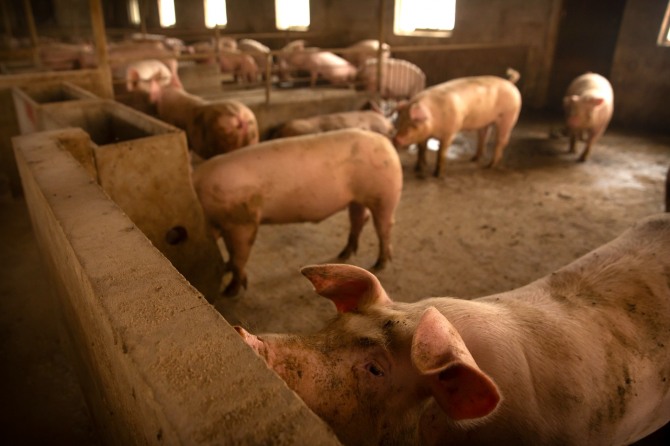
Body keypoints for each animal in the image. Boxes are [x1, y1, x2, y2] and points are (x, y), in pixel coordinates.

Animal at [194, 129, 404, 296]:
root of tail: (386, 143)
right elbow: (233, 257)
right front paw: (226, 270)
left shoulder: (243, 222)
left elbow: (239, 257)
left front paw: (229, 292)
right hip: (356, 199)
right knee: (359, 219)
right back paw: (343, 254)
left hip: (384, 194)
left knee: (384, 226)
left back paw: (378, 265)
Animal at [394, 69, 524, 177]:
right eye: (400, 121)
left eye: (413, 124)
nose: (397, 139)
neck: (434, 121)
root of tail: (510, 83)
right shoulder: (424, 135)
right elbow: (421, 149)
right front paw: (418, 169)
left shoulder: (450, 132)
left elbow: (441, 153)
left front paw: (438, 175)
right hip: (486, 122)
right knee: (483, 137)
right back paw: (474, 159)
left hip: (509, 116)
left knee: (501, 141)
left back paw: (489, 166)